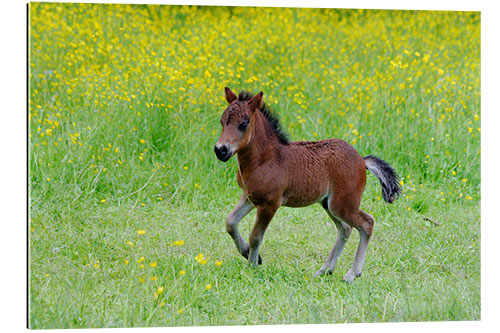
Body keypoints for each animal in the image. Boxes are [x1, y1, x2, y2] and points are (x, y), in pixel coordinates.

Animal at [213, 87, 400, 280]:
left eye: (244, 124)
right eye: (222, 121)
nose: (220, 150)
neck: (264, 159)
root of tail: (362, 160)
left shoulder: (269, 204)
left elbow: (255, 236)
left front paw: (252, 266)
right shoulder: (250, 197)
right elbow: (230, 222)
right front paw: (249, 254)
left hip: (343, 205)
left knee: (367, 224)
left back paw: (352, 274)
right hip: (329, 203)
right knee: (345, 229)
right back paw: (325, 270)